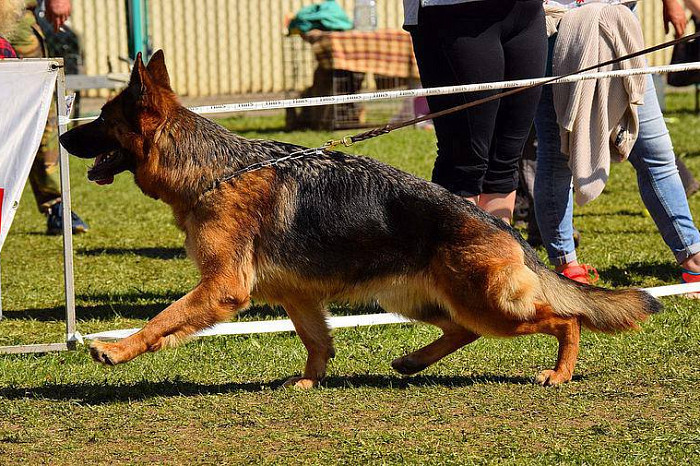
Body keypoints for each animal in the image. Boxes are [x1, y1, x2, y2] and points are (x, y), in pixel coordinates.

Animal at [60, 51, 660, 388]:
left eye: (101, 119)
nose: (62, 138)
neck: (213, 170)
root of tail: (503, 227)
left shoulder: (222, 288)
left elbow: (161, 321)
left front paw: (115, 349)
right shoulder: (296, 295)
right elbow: (318, 343)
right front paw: (307, 384)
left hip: (487, 304)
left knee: (565, 320)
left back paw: (558, 373)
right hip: (416, 298)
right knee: (461, 329)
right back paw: (414, 361)